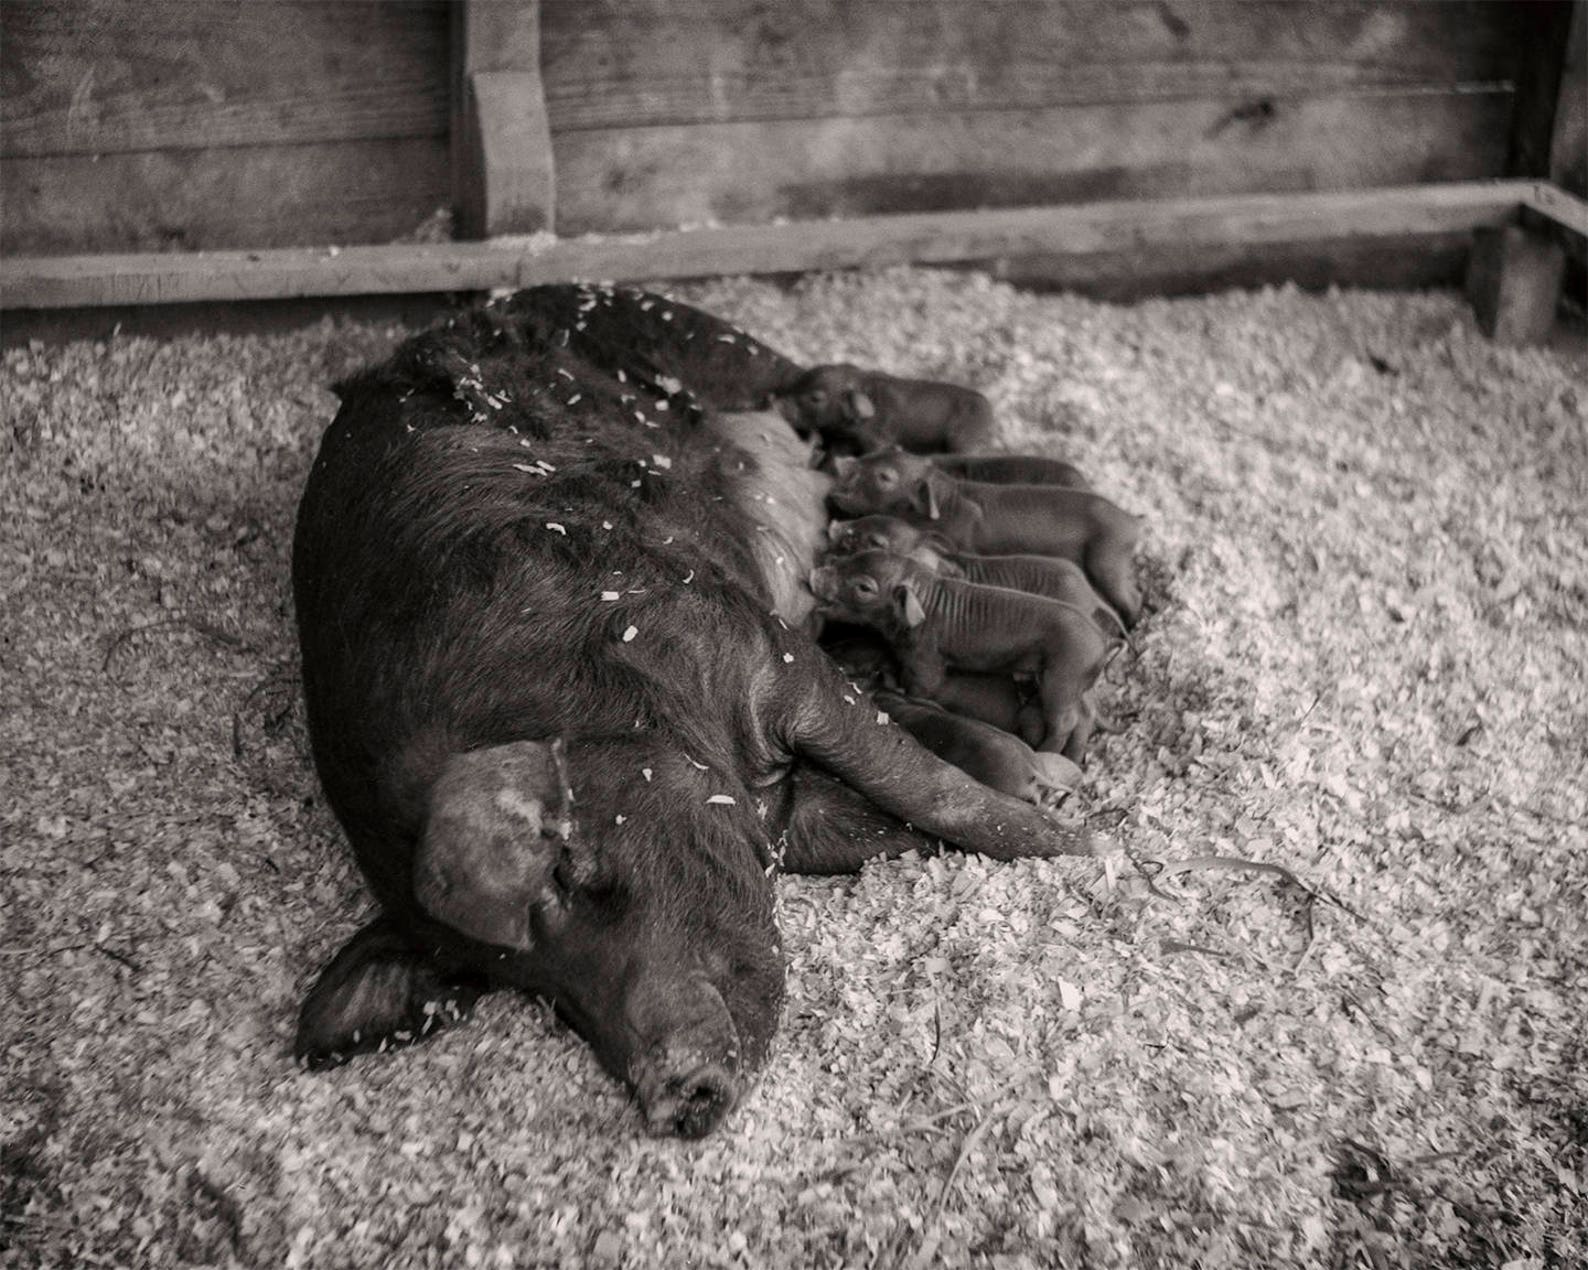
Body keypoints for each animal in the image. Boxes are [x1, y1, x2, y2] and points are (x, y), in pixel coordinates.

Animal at [774, 363, 994, 454]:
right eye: (797, 384)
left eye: (816, 397)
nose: (779, 404)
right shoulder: (841, 442)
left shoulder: (878, 441)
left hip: (961, 444)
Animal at [809, 550, 1109, 760]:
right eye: (852, 556)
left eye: (864, 588)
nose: (814, 573)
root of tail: (1100, 644)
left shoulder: (926, 661)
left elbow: (922, 686)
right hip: (1074, 686)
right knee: (1084, 715)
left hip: (1062, 678)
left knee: (1064, 722)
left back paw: (1044, 752)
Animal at [826, 450, 1143, 627]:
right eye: (875, 453)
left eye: (885, 476)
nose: (841, 461)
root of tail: (1131, 520)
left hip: (1108, 561)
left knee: (1131, 600)